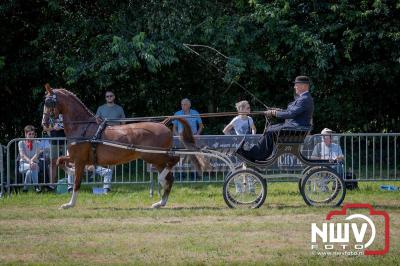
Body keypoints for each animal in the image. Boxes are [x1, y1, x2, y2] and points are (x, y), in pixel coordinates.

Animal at [41, 84, 206, 209]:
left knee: (174, 161)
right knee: (170, 176)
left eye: (49, 103)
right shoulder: (75, 157)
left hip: (154, 155)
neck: (83, 127)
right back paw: (160, 202)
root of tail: (163, 124)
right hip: (156, 159)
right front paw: (71, 171)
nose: (44, 124)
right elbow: (59, 160)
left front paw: (70, 204)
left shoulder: (80, 160)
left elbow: (76, 182)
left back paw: (160, 182)